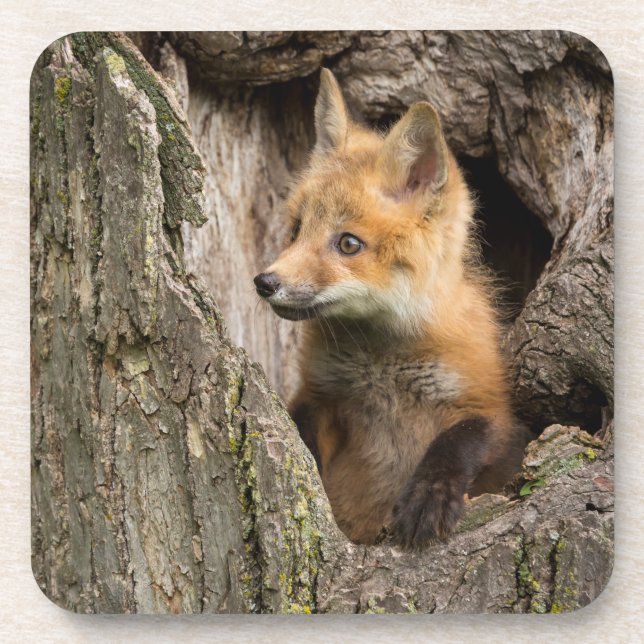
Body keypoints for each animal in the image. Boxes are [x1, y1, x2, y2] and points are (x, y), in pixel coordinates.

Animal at [254, 68, 524, 548]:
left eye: (348, 244)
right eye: (297, 229)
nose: (266, 282)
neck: (381, 367)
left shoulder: (492, 406)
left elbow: (461, 438)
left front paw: (429, 496)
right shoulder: (320, 396)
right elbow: (303, 436)